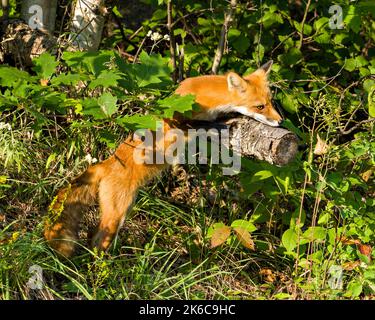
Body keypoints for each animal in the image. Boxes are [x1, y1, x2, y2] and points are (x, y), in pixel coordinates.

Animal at [44, 60, 282, 258]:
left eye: (270, 102)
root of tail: (106, 164)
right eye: (260, 106)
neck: (208, 99)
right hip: (116, 214)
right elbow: (200, 125)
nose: (280, 121)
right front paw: (223, 123)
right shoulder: (176, 117)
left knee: (92, 235)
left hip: (123, 209)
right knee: (97, 241)